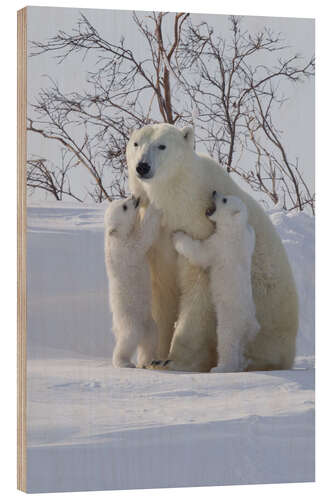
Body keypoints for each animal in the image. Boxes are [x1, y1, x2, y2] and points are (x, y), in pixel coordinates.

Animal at [126, 123, 296, 372]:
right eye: (136, 143)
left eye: (162, 145)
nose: (142, 166)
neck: (178, 199)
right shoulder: (156, 238)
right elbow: (163, 290)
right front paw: (153, 358)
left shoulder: (199, 225)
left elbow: (197, 287)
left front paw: (173, 360)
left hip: (268, 316)